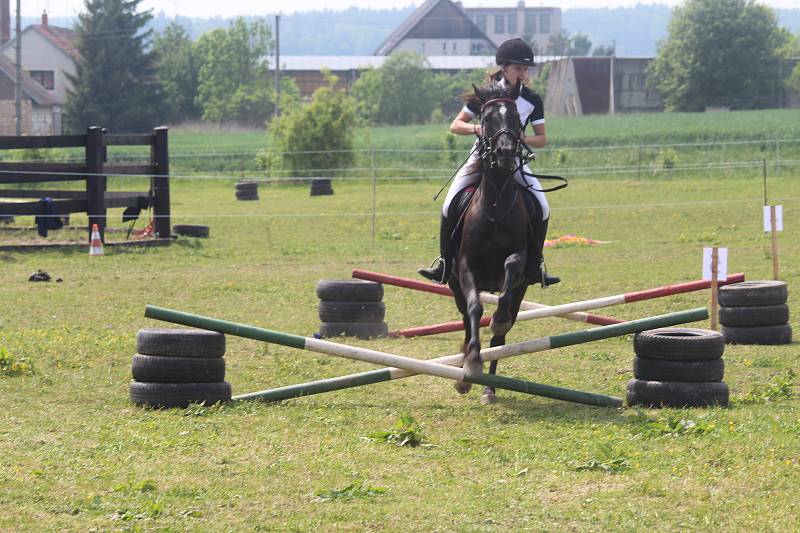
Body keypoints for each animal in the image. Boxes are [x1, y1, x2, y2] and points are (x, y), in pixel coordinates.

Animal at [450, 79, 536, 404]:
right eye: (486, 119)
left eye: (516, 118)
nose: (505, 152)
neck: (496, 206)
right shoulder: (465, 267)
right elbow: (475, 309)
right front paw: (471, 362)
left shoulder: (519, 260)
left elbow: (511, 267)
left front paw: (497, 318)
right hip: (454, 286)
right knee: (466, 319)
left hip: (522, 290)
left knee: (501, 335)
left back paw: (490, 387)